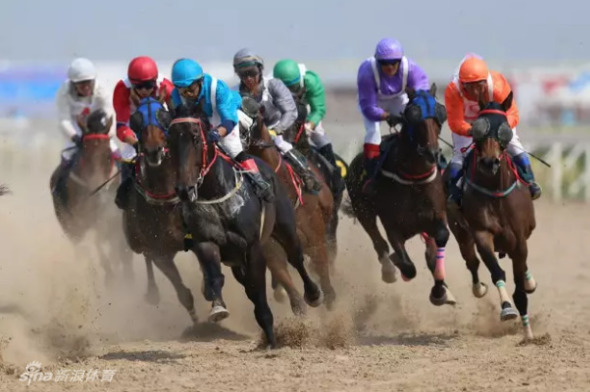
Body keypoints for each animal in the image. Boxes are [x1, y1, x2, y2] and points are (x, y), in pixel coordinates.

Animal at [50, 110, 133, 284]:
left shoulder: (111, 219)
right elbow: (94, 247)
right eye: (85, 152)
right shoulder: (80, 221)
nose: (97, 189)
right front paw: (107, 275)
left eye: (108, 155)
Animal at [166, 103, 324, 346]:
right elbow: (215, 276)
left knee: (296, 258)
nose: (184, 189)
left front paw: (271, 339)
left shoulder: (253, 248)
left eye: (195, 137)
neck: (216, 193)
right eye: (170, 139)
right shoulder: (206, 242)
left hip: (286, 227)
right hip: (237, 262)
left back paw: (313, 295)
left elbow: (259, 291)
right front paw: (218, 308)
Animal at [342, 85, 458, 306]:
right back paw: (389, 268)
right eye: (413, 115)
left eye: (440, 113)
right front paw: (397, 264)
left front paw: (440, 291)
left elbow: (439, 241)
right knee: (379, 242)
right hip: (363, 209)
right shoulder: (392, 226)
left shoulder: (436, 216)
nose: (432, 153)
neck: (413, 179)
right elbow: (406, 264)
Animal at [446, 96, 540, 342]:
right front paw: (507, 308)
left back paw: (530, 281)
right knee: (471, 261)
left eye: (503, 128)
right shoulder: (481, 234)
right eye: (479, 128)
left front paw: (528, 333)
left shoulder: (519, 238)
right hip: (461, 234)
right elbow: (496, 271)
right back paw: (478, 288)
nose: (489, 163)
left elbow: (519, 281)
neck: (495, 192)